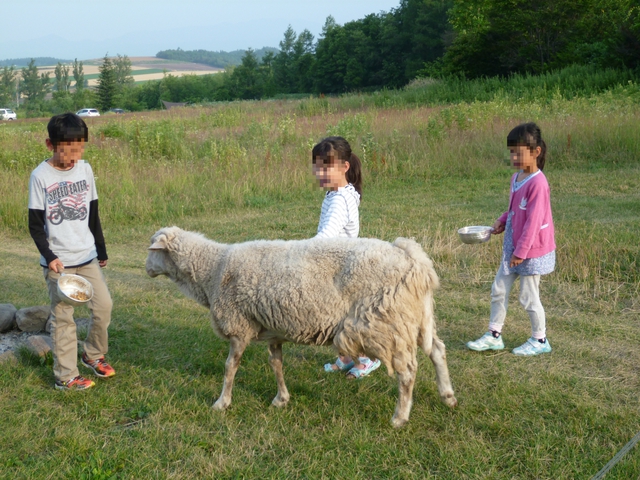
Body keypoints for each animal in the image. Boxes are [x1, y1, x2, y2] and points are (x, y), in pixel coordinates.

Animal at [146, 227, 456, 426]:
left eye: (152, 248)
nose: (146, 269)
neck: (213, 269)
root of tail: (414, 259)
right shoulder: (273, 328)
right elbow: (276, 364)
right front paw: (281, 398)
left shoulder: (239, 326)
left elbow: (229, 368)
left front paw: (222, 403)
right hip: (415, 317)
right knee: (437, 350)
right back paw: (448, 396)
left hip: (382, 322)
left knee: (408, 371)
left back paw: (400, 417)